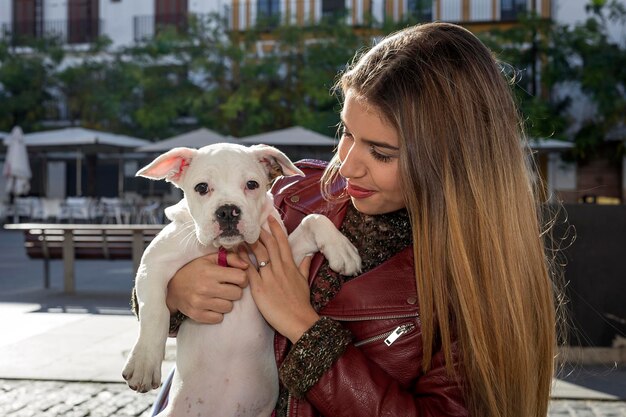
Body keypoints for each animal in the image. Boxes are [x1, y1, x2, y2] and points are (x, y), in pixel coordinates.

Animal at [121, 143, 358, 416]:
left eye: (252, 184)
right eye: (201, 188)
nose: (227, 211)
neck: (229, 249)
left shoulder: (282, 256)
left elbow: (314, 219)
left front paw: (342, 249)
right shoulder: (153, 262)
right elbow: (155, 311)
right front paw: (144, 363)